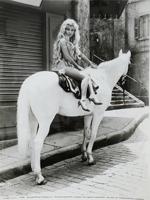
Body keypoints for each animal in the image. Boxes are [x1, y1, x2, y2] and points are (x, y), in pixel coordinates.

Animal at [17, 50, 131, 184]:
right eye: (129, 63)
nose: (125, 80)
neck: (104, 77)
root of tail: (29, 82)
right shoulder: (98, 114)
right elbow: (93, 134)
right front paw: (90, 157)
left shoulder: (88, 115)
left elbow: (86, 133)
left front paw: (84, 155)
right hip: (45, 121)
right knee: (37, 142)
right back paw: (39, 176)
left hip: (33, 119)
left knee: (31, 142)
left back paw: (34, 170)